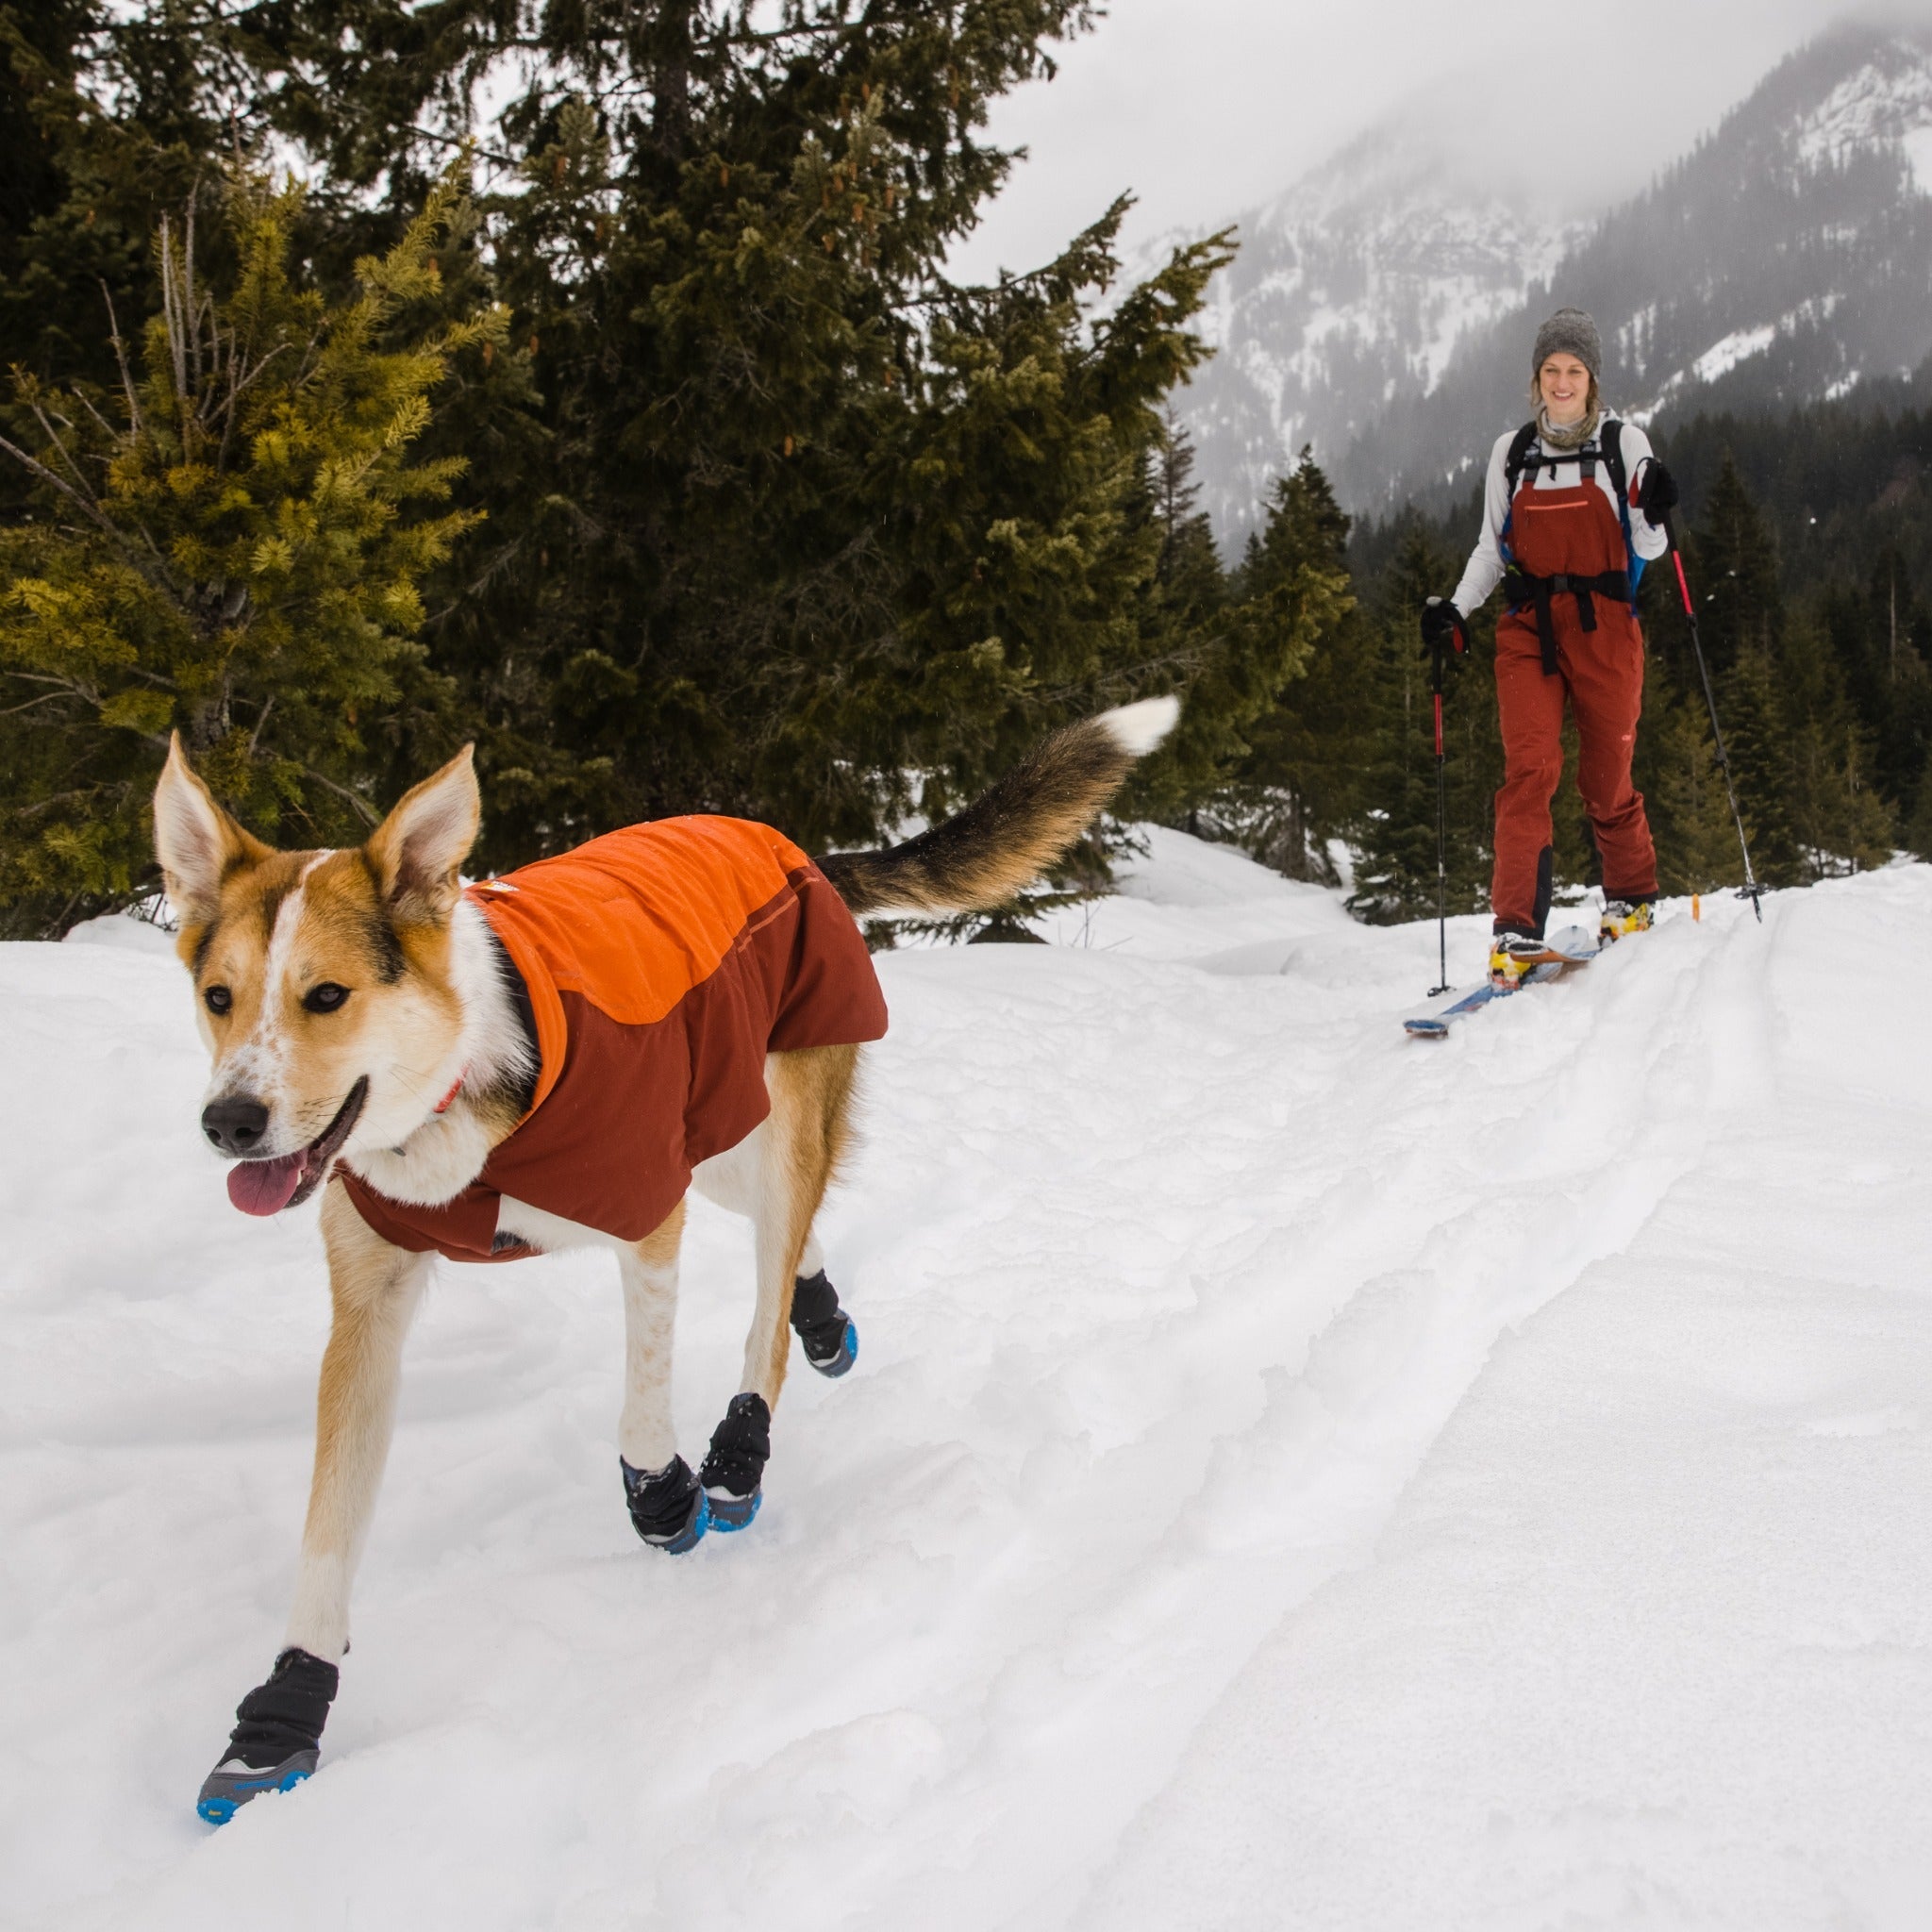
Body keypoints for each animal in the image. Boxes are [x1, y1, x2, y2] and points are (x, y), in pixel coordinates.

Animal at [146, 699, 1174, 1824]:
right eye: (219, 996)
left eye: (326, 995)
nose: (228, 1122)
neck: (460, 1094)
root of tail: (784, 842)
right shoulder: (370, 1301)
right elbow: (327, 1533)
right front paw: (282, 1716)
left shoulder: (647, 1212)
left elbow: (642, 1406)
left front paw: (665, 1494)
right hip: (723, 1133)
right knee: (790, 1240)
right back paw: (824, 1314)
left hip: (761, 1127)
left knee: (768, 1300)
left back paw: (744, 1442)